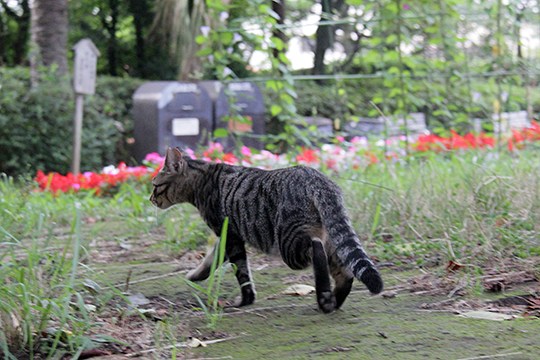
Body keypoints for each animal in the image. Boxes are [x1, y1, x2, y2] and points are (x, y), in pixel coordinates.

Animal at [150, 146, 382, 312]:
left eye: (155, 186)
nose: (150, 199)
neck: (201, 180)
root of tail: (317, 178)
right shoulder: (227, 235)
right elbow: (212, 258)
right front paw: (196, 275)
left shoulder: (229, 235)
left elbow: (241, 271)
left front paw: (246, 299)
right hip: (331, 239)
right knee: (345, 272)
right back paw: (332, 302)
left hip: (290, 245)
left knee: (317, 251)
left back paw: (324, 298)